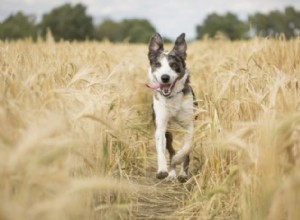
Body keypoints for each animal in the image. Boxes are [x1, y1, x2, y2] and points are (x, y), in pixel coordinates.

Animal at [146, 31, 197, 181]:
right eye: (157, 64)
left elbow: (186, 148)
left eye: (173, 65)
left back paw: (182, 173)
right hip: (169, 133)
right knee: (170, 149)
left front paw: (179, 161)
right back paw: (171, 173)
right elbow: (161, 149)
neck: (172, 98)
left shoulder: (189, 125)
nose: (165, 78)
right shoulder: (161, 126)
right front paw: (163, 170)